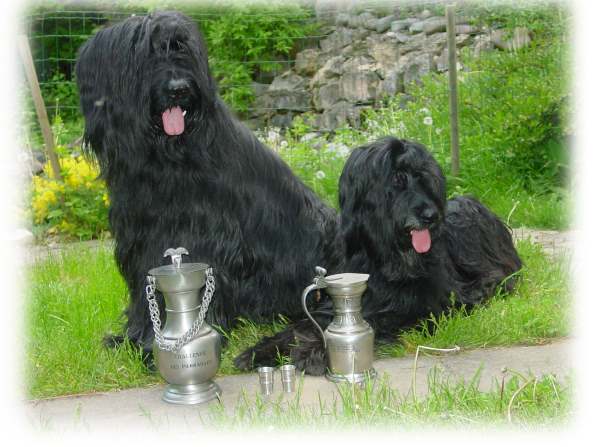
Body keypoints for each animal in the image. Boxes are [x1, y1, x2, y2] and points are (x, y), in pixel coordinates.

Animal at [75, 11, 344, 364]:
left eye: (183, 50)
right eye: (146, 55)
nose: (179, 89)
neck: (165, 156)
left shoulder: (206, 235)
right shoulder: (140, 240)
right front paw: (133, 338)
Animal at [235, 136, 524, 374]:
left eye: (424, 179)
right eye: (397, 179)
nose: (431, 215)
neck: (388, 256)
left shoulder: (420, 309)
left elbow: (381, 320)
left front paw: (314, 351)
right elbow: (302, 325)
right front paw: (261, 350)